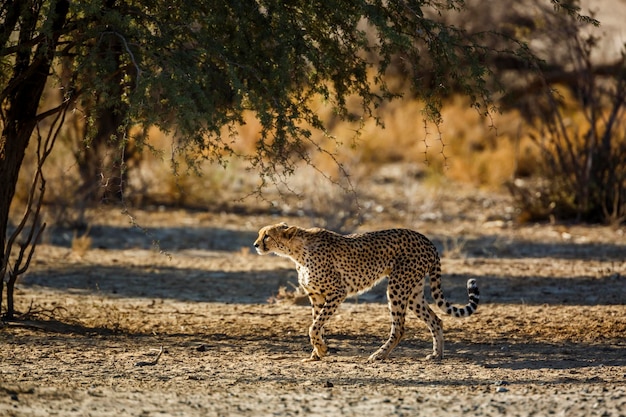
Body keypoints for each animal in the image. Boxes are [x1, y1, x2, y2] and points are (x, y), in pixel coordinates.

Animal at [254, 224, 478, 360]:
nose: (255, 245)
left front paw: (321, 349)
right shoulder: (316, 296)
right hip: (413, 291)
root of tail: (426, 239)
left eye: (267, 235)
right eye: (259, 234)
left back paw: (379, 355)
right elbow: (317, 325)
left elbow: (314, 326)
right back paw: (436, 355)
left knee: (399, 328)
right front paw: (318, 352)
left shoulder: (338, 292)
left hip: (397, 286)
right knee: (436, 320)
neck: (296, 251)